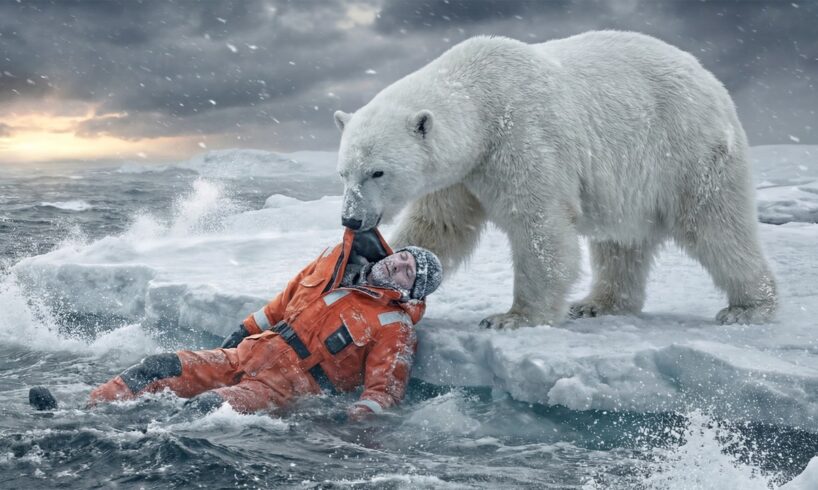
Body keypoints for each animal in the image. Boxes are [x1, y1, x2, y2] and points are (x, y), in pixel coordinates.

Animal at [333, 30, 777, 329]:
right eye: (343, 172)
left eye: (377, 171)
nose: (351, 219)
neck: (481, 100)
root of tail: (711, 80)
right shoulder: (460, 173)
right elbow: (439, 226)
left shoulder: (522, 137)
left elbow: (539, 226)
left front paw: (512, 317)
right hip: (633, 181)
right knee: (621, 243)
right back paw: (599, 303)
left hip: (687, 150)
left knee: (716, 226)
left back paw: (749, 306)